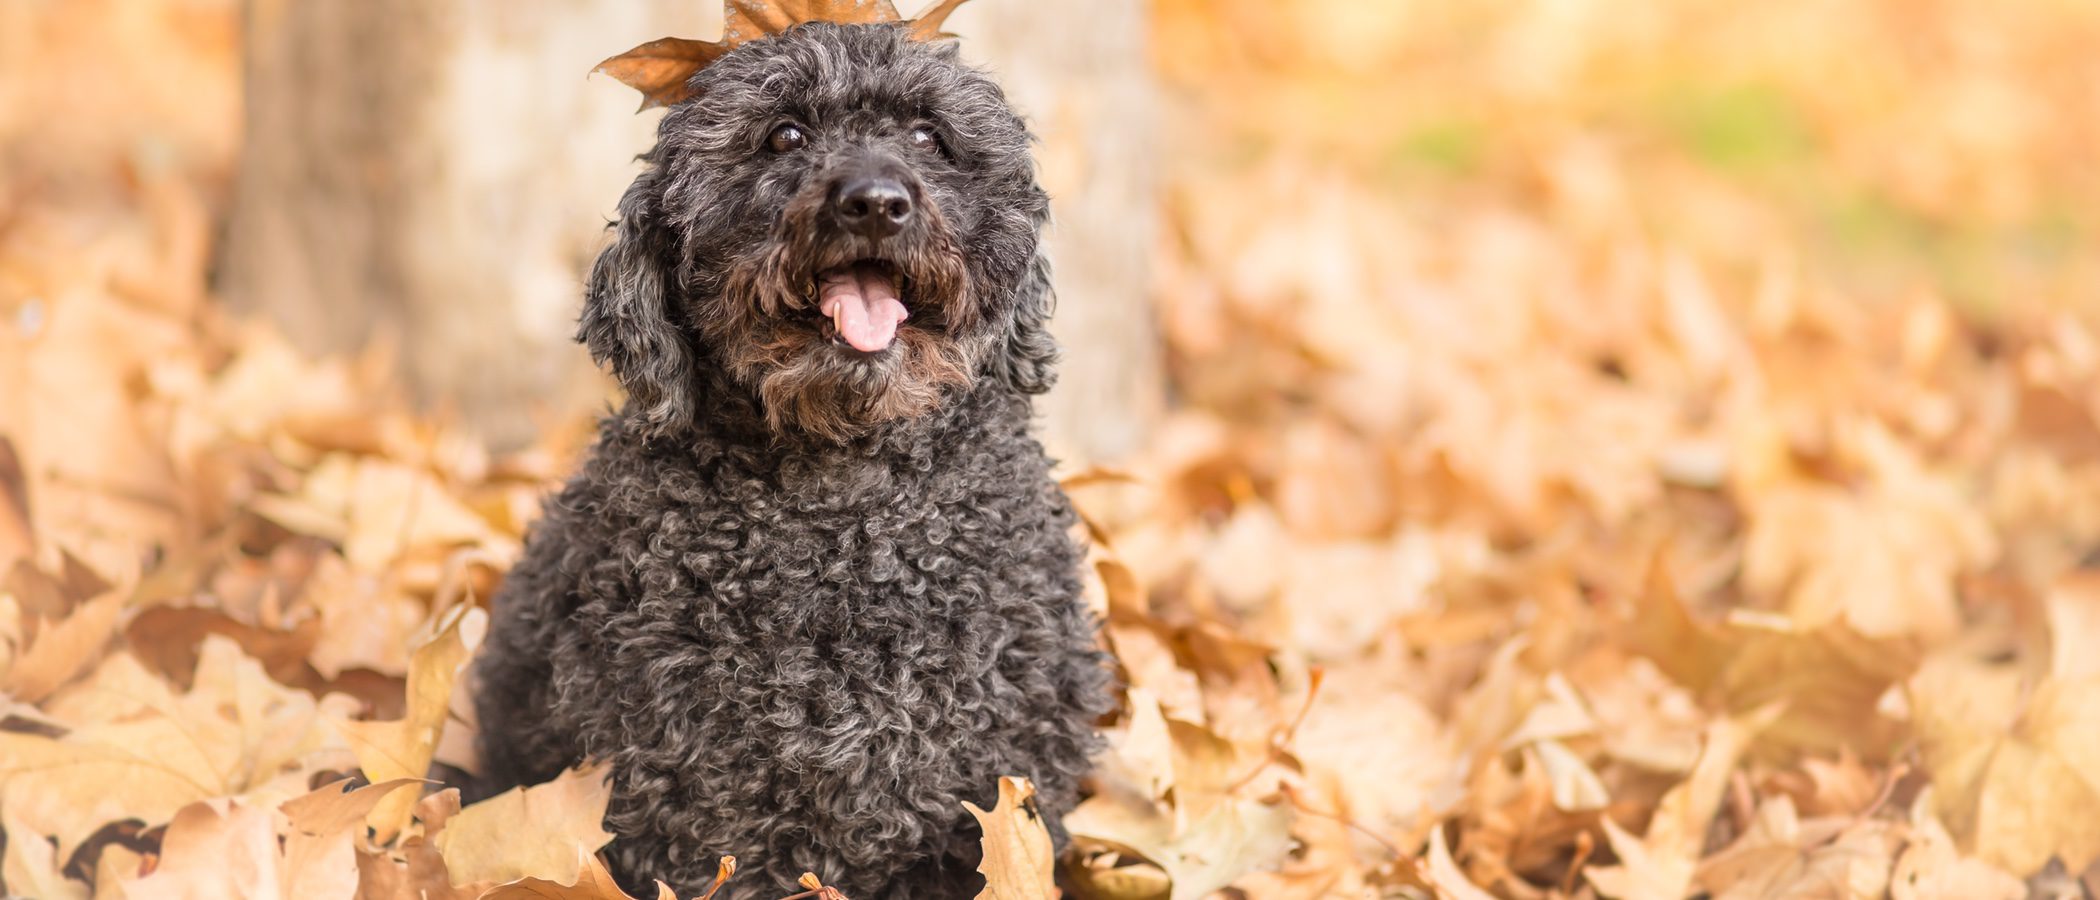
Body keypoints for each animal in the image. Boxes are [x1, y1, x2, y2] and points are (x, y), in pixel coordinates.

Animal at [472, 20, 1117, 897]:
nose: (875, 202)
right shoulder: (687, 804)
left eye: (928, 136)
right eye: (784, 136)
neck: (846, 511)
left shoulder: (998, 794)